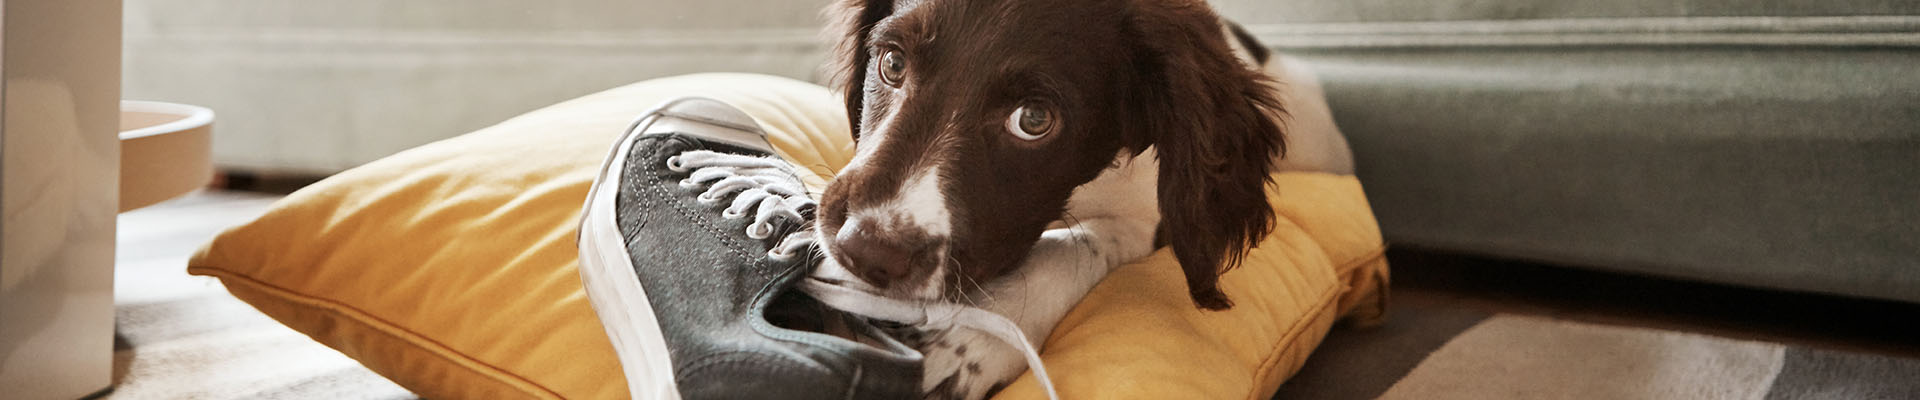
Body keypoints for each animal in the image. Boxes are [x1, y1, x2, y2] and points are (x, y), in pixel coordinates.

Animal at [817, 0, 1359, 396]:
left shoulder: (1151, 220)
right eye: (891, 63)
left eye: (1034, 119)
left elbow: (1077, 246)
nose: (866, 250)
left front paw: (971, 343)